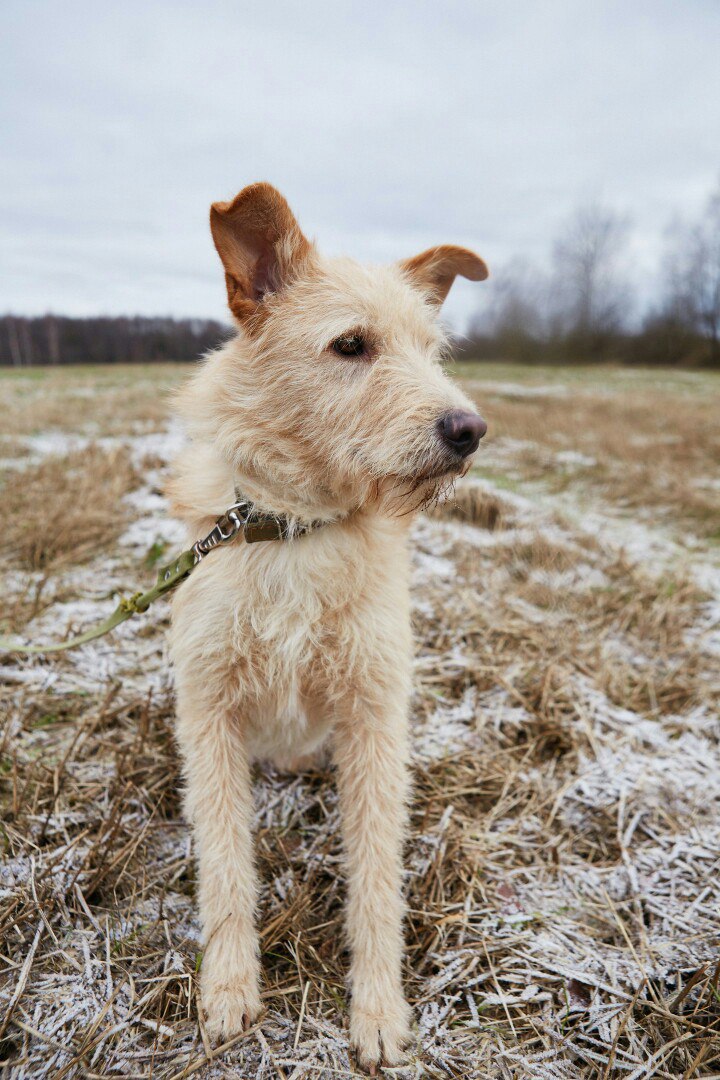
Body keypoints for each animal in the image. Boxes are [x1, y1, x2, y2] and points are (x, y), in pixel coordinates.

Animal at [166, 181, 487, 1067]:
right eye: (351, 344)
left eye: (432, 350)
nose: (469, 430)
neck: (298, 530)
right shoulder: (208, 714)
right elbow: (226, 868)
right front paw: (229, 990)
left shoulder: (373, 717)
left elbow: (376, 877)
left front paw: (378, 1011)